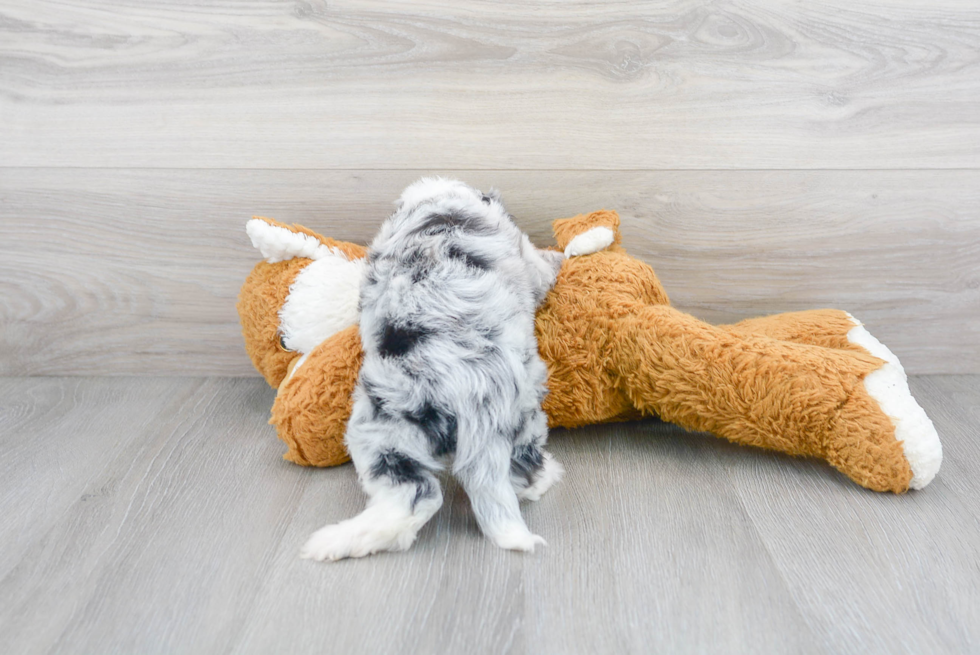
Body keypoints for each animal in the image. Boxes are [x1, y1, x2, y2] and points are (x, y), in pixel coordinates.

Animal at [302, 179, 572, 564]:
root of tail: (469, 390)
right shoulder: (523, 255)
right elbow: (541, 264)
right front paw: (560, 256)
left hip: (385, 428)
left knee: (412, 496)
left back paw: (335, 542)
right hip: (525, 414)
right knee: (520, 474)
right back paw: (548, 474)